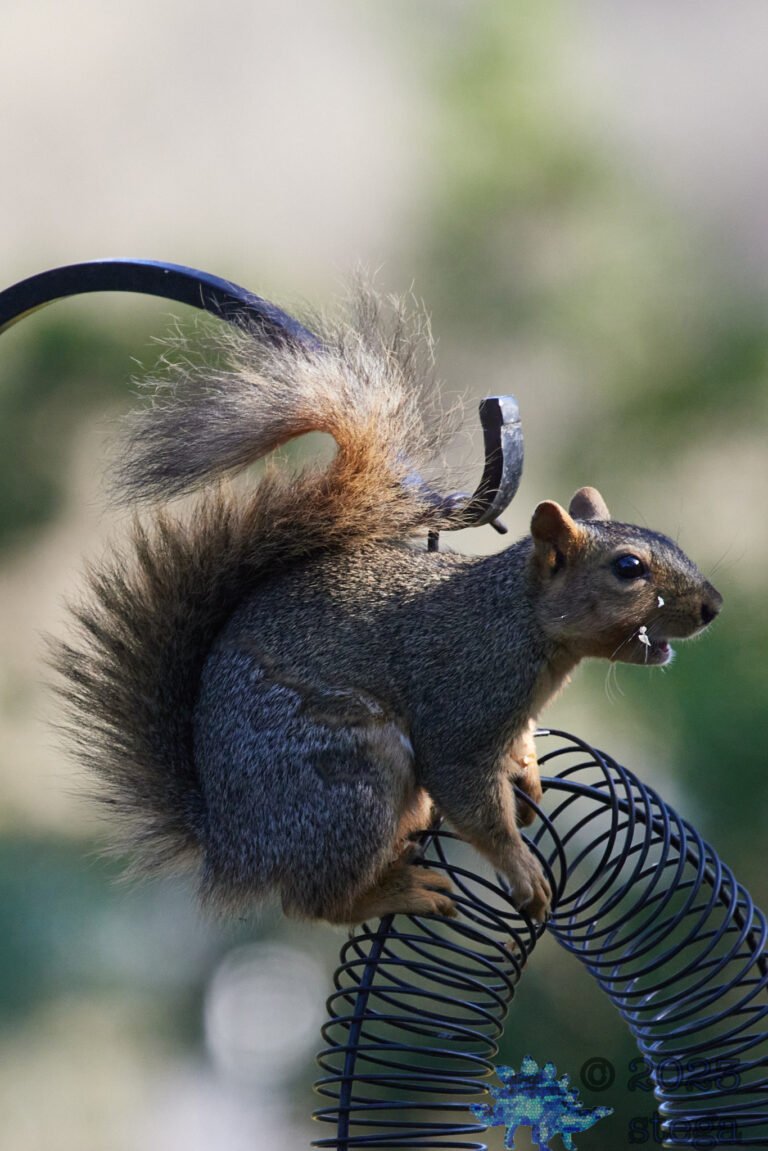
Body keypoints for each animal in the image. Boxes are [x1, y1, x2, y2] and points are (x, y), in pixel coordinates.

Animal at [53, 288, 722, 926]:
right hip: (350, 776)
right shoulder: (463, 702)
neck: (522, 623)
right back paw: (403, 890)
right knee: (314, 902)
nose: (712, 607)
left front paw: (526, 762)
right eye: (628, 569)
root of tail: (234, 844)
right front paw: (523, 872)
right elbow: (469, 796)